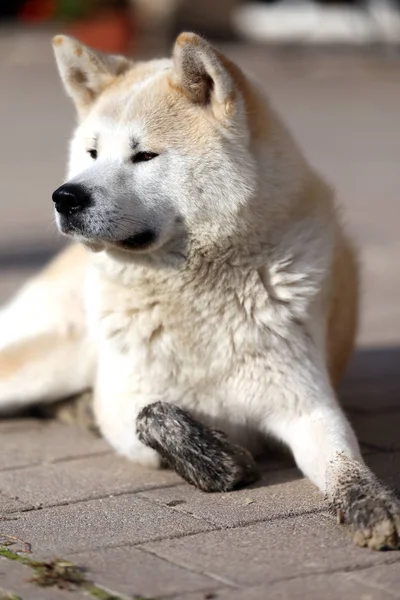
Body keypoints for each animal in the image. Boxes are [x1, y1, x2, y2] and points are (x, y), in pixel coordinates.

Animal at [0, 31, 400, 548]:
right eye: (92, 153)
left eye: (144, 155)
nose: (65, 197)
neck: (196, 292)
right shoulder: (123, 405)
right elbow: (151, 413)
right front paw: (218, 459)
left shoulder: (307, 405)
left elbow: (343, 461)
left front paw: (370, 502)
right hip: (57, 356)